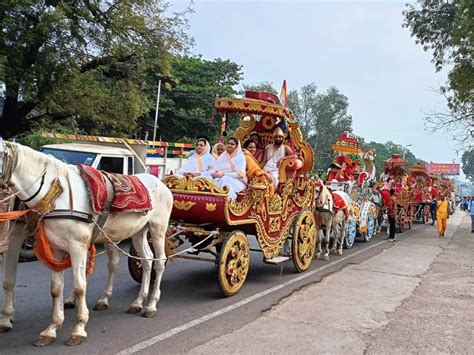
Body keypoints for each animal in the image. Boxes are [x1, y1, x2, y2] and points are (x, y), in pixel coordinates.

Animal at [0, 142, 173, 348]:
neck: (55, 195)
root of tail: (161, 183)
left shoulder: (76, 246)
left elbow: (80, 286)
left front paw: (79, 329)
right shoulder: (55, 249)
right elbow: (55, 289)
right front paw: (51, 329)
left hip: (158, 228)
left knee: (159, 262)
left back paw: (151, 305)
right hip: (138, 232)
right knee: (146, 261)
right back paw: (137, 302)